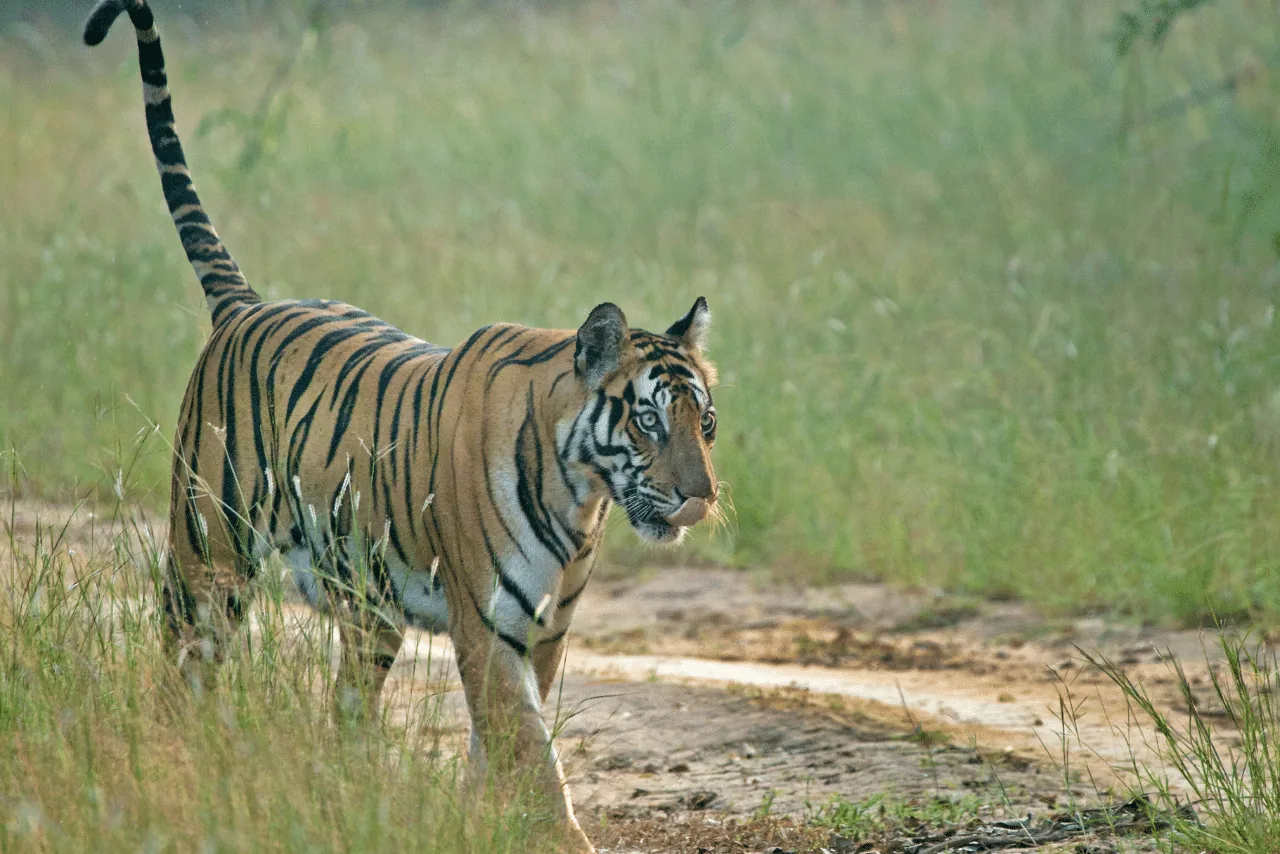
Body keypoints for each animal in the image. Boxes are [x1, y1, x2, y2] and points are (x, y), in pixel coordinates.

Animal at [82, 1, 720, 850]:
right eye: (648, 422)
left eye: (704, 424)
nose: (700, 498)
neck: (580, 494)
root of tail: (246, 305)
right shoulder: (489, 627)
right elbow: (530, 750)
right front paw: (552, 834)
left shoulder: (544, 633)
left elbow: (501, 745)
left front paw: (487, 822)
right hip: (206, 559)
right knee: (182, 676)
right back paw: (168, 770)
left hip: (367, 612)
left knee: (345, 715)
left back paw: (342, 796)